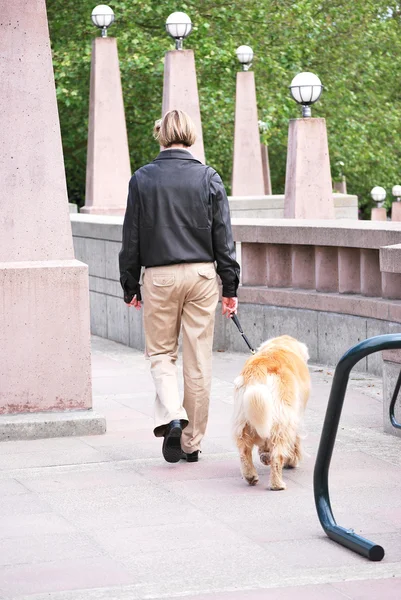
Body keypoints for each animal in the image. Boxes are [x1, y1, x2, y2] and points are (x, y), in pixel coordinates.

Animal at [231, 336, 310, 490]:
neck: (281, 345)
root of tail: (259, 368)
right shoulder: (296, 415)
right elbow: (295, 441)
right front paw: (292, 460)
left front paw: (264, 454)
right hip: (283, 420)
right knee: (277, 455)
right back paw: (277, 483)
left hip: (244, 419)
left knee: (244, 450)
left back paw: (250, 475)